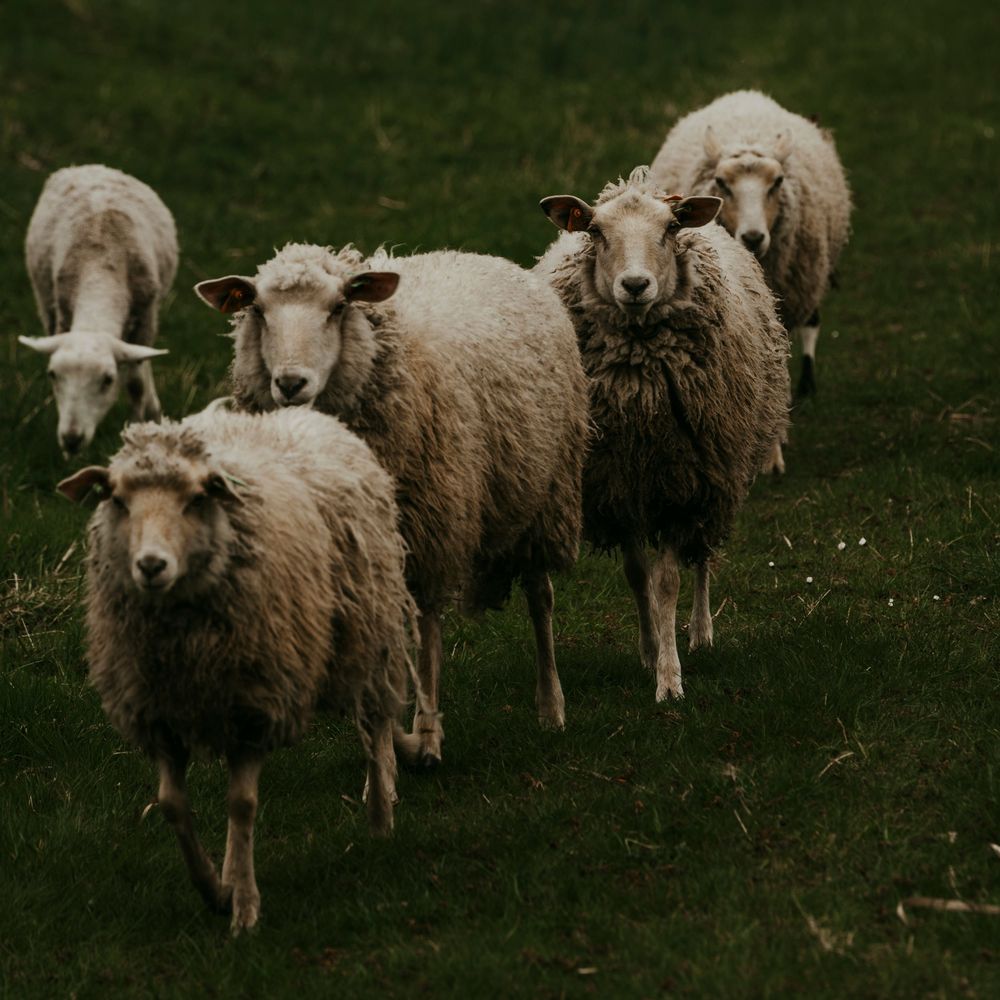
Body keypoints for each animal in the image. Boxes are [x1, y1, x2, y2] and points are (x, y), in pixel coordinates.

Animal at [20, 164, 177, 457]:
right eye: (52, 374)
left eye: (107, 380)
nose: (71, 439)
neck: (101, 264)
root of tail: (88, 167)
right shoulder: (62, 312)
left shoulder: (146, 317)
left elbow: (136, 384)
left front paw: (138, 430)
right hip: (45, 302)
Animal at [57, 406, 418, 933]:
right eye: (118, 499)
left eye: (196, 498)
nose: (151, 565)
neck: (183, 644)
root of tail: (302, 413)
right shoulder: (160, 713)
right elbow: (171, 805)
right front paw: (214, 890)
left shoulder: (256, 702)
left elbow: (241, 804)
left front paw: (244, 906)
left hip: (369, 629)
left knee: (374, 728)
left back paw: (379, 816)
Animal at [194, 245, 589, 766]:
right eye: (257, 309)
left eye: (339, 307)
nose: (291, 383)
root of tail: (477, 254)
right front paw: (383, 748)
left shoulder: (430, 530)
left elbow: (428, 633)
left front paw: (425, 737)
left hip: (546, 499)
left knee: (540, 598)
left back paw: (551, 706)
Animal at [536, 166, 789, 701]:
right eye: (595, 231)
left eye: (670, 229)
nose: (635, 285)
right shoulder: (618, 485)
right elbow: (637, 577)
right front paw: (651, 650)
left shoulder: (682, 483)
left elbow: (669, 580)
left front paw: (670, 679)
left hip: (719, 472)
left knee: (703, 556)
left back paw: (700, 632)